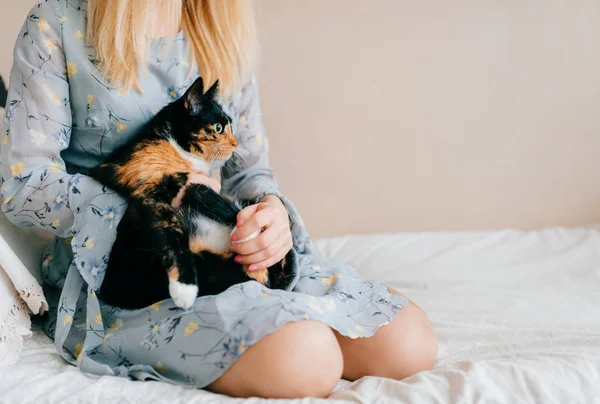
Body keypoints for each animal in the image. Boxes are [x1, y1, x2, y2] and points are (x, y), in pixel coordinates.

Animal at [88, 76, 296, 310]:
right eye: (218, 127)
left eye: (230, 125)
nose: (236, 143)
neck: (176, 146)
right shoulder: (149, 190)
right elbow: (172, 238)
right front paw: (184, 290)